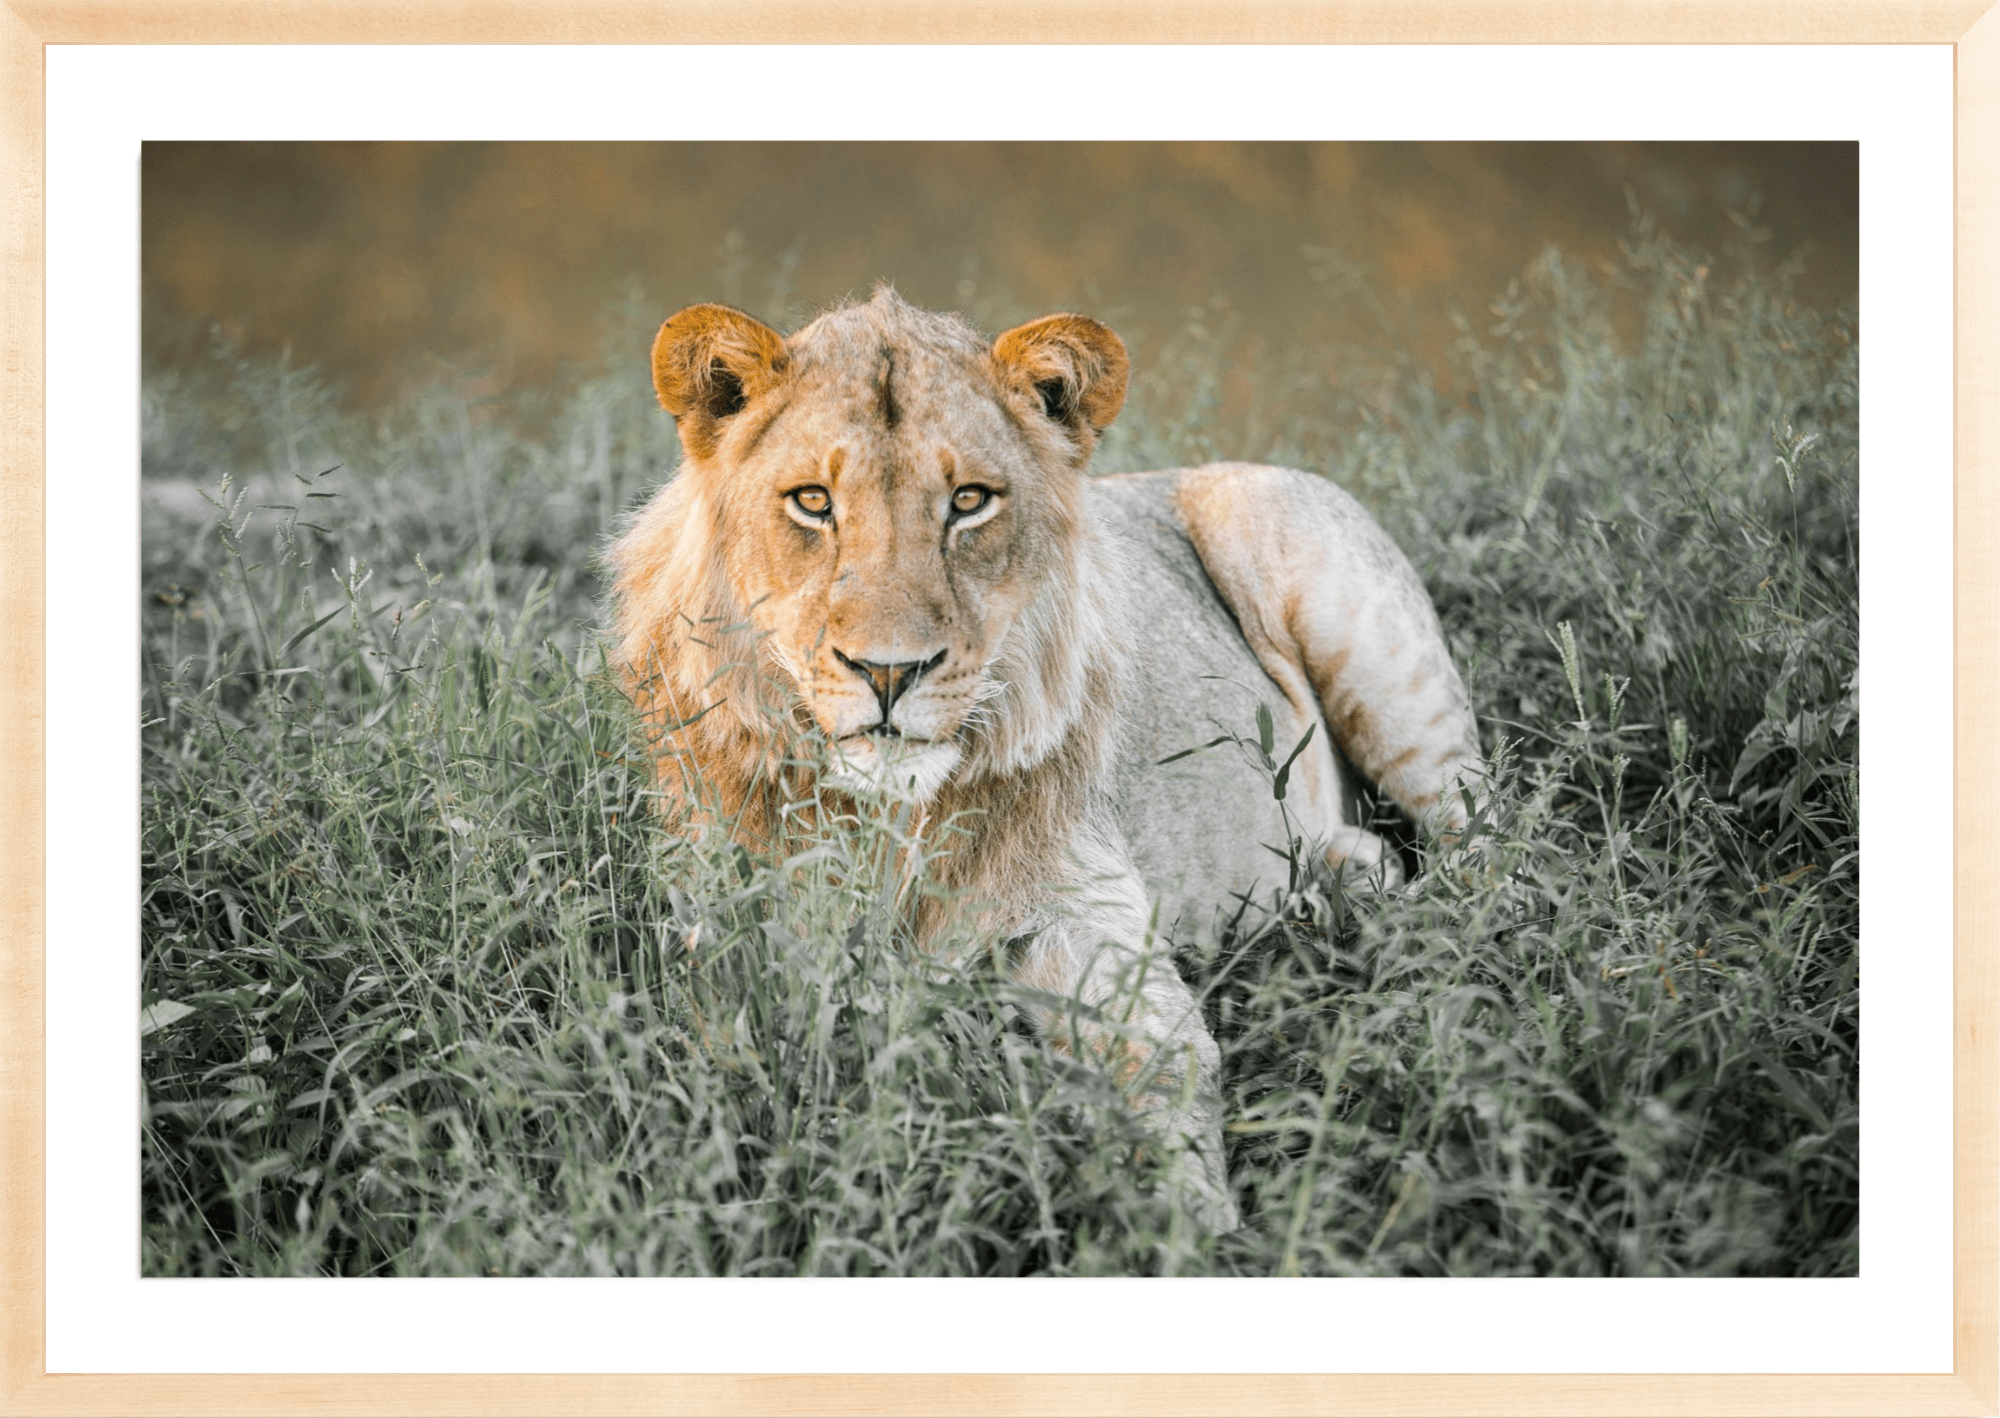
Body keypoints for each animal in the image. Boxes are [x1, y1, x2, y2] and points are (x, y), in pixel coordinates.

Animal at [610, 287, 1482, 1234]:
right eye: (812, 502)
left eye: (968, 501)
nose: (889, 671)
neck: (892, 826)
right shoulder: (721, 926)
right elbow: (715, 1068)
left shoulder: (1086, 909)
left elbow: (1163, 1064)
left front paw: (1194, 1231)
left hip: (1376, 655)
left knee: (1494, 855)